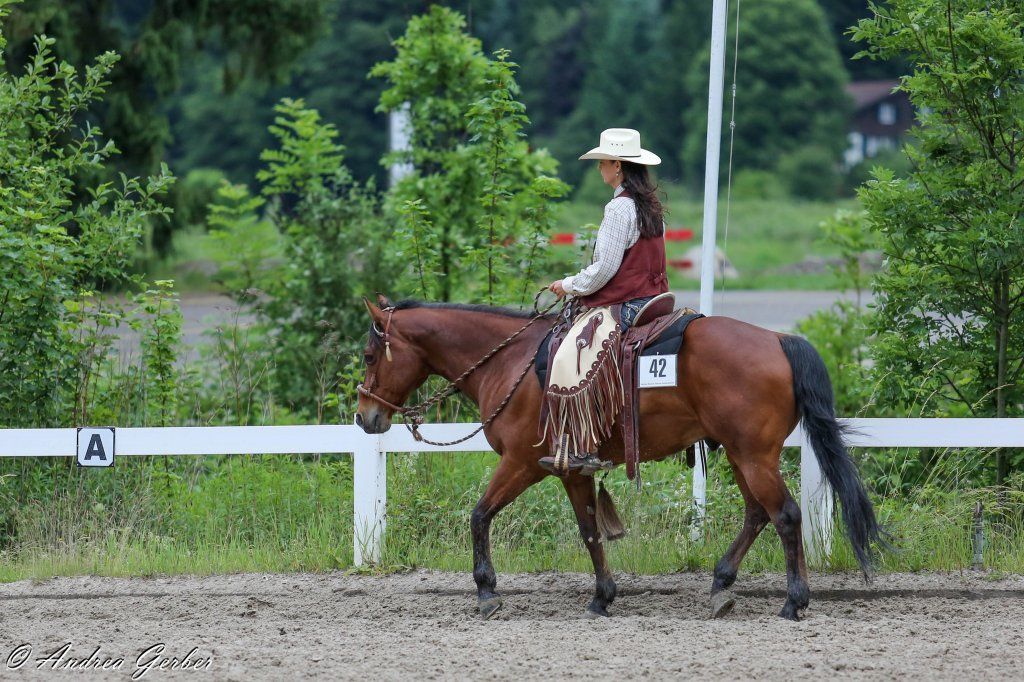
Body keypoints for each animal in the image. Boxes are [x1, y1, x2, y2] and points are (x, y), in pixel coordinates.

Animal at [355, 294, 884, 621]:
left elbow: (479, 515)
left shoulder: (520, 464)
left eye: (368, 355)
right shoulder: (570, 470)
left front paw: (487, 593)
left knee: (786, 515)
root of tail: (777, 339)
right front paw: (602, 597)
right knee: (758, 514)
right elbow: (589, 529)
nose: (364, 417)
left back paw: (794, 602)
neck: (512, 362)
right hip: (742, 454)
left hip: (753, 455)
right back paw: (721, 585)